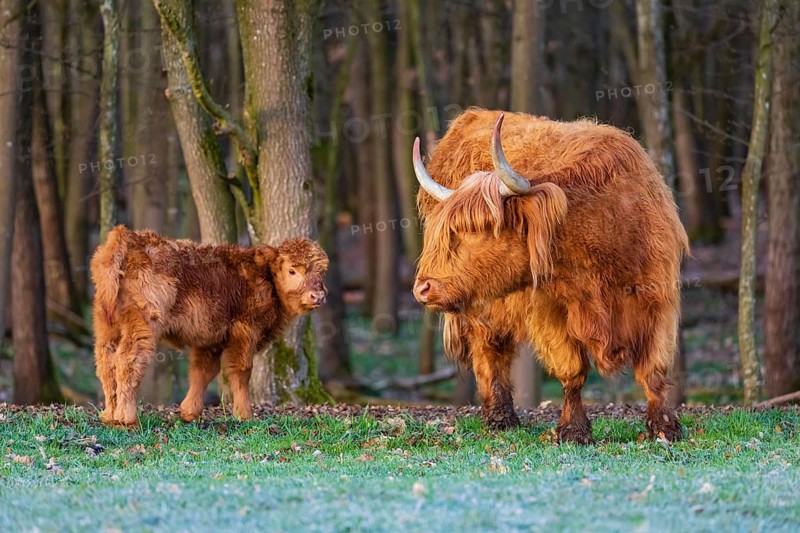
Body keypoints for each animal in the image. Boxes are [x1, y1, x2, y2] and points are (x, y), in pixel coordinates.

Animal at [90, 225, 328, 428]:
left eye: (321, 272)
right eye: (292, 271)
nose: (317, 296)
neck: (264, 277)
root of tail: (130, 238)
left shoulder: (210, 339)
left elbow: (202, 371)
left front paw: (189, 413)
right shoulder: (245, 331)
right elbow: (241, 371)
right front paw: (244, 415)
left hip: (106, 327)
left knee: (106, 363)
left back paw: (109, 416)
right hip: (143, 325)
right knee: (128, 361)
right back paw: (127, 420)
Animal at [412, 109, 688, 444]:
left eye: (476, 229)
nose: (422, 287)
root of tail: (472, 115)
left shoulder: (658, 299)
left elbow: (653, 369)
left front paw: (665, 428)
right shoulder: (550, 310)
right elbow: (573, 370)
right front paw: (573, 431)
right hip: (484, 304)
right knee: (490, 350)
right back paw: (500, 418)